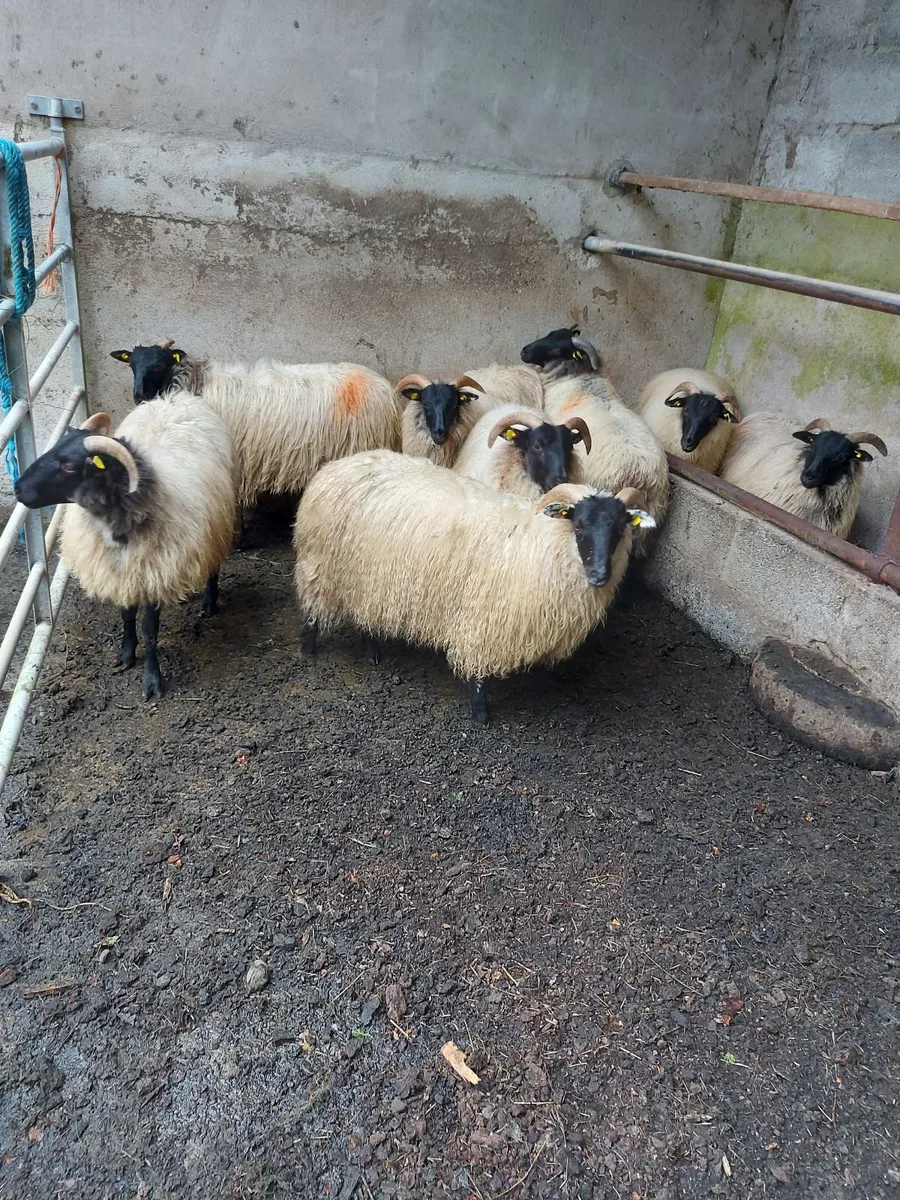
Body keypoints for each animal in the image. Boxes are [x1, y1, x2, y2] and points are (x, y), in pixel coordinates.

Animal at [14, 398, 238, 699]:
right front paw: (126, 653)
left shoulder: (154, 573)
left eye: (69, 466)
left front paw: (152, 678)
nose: (18, 489)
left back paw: (209, 602)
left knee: (214, 562)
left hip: (219, 522)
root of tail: (176, 397)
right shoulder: (121, 573)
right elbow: (126, 615)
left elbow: (149, 629)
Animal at [292, 449, 655, 724]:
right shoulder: (483, 619)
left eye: (621, 527)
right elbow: (479, 673)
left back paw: (372, 652)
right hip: (321, 565)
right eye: (579, 525)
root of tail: (337, 465)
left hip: (367, 579)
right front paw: (480, 714)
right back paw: (309, 648)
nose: (599, 575)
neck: (541, 542)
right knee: (311, 610)